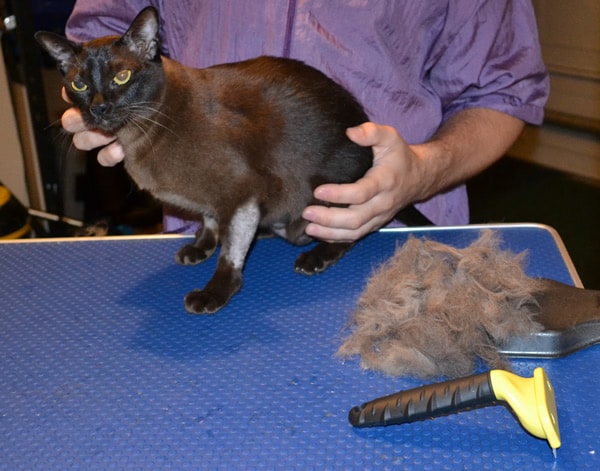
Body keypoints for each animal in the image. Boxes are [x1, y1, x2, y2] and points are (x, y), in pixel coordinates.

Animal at [36, 6, 432, 314]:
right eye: (79, 85)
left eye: (122, 76)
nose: (99, 108)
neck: (144, 134)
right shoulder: (218, 200)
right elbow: (211, 223)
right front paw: (199, 249)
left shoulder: (242, 190)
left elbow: (232, 252)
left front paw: (213, 294)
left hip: (323, 199)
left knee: (355, 231)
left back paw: (313, 258)